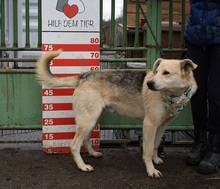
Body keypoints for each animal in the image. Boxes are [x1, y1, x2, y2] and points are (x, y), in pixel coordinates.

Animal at [36, 50, 198, 179]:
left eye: (166, 73)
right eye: (157, 72)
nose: (149, 84)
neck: (172, 96)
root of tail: (84, 75)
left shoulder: (162, 126)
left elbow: (156, 145)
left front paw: (156, 159)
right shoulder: (149, 125)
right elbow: (147, 150)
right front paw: (151, 170)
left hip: (94, 119)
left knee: (86, 139)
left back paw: (93, 154)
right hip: (89, 120)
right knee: (74, 145)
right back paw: (82, 166)